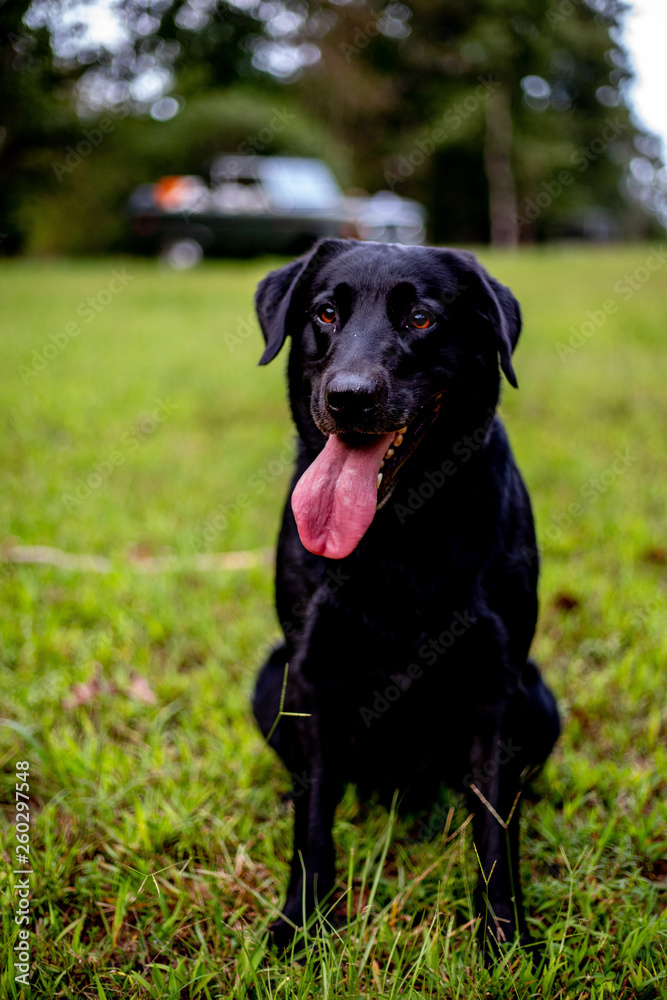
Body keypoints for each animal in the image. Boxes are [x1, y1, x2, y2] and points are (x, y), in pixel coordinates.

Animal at [253, 238, 560, 956]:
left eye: (421, 318)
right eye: (325, 313)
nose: (348, 397)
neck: (400, 525)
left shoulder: (497, 686)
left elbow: (495, 828)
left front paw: (505, 937)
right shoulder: (310, 675)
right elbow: (312, 817)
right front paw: (301, 924)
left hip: (540, 697)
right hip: (269, 679)